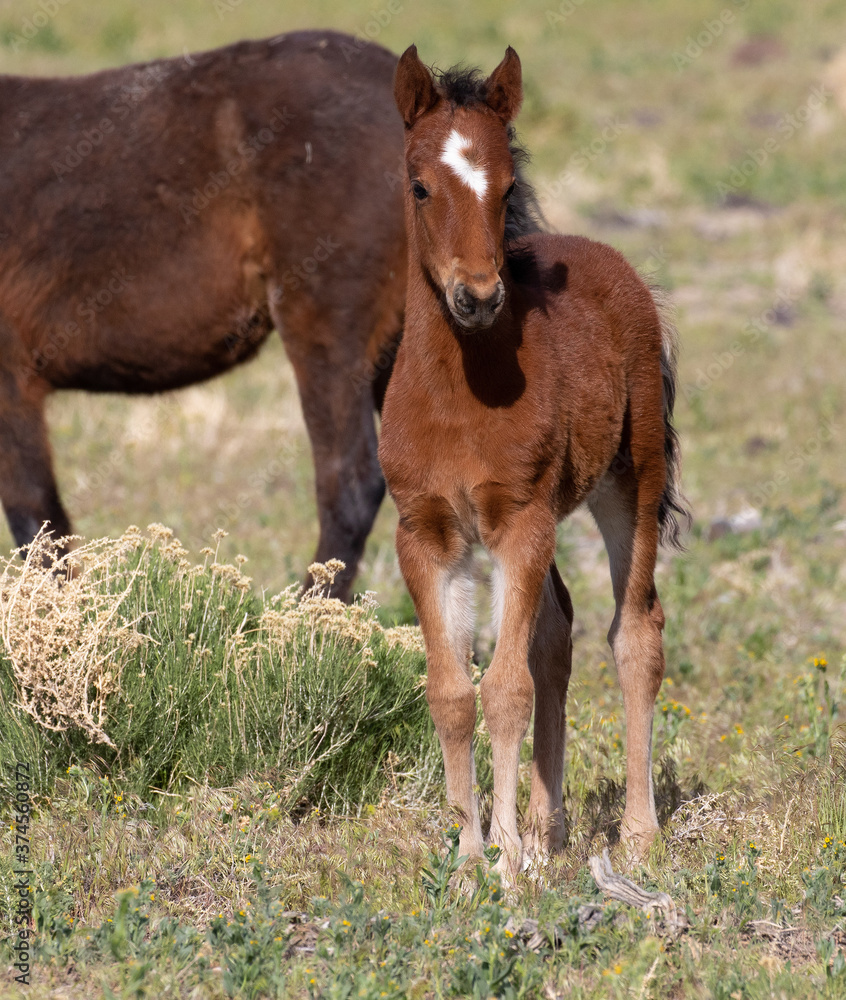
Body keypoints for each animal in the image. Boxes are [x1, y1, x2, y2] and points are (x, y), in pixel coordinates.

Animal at [378, 45, 688, 877]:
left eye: (509, 186)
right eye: (420, 184)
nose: (478, 295)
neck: (458, 394)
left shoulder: (517, 521)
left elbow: (505, 689)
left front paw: (507, 863)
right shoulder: (428, 535)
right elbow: (453, 693)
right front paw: (470, 860)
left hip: (629, 481)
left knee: (634, 631)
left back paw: (637, 836)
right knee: (558, 630)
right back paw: (552, 832)